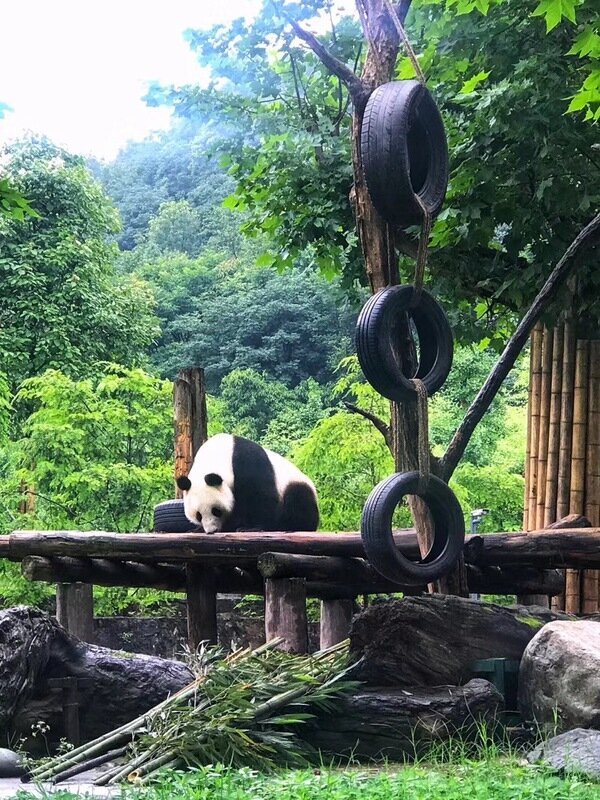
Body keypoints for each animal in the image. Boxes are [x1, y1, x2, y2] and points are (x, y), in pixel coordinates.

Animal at [176, 433, 319, 533]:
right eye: (198, 515)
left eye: (216, 511)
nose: (212, 531)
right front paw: (197, 529)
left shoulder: (247, 462)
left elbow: (261, 496)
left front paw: (252, 527)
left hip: (296, 484)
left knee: (298, 499)